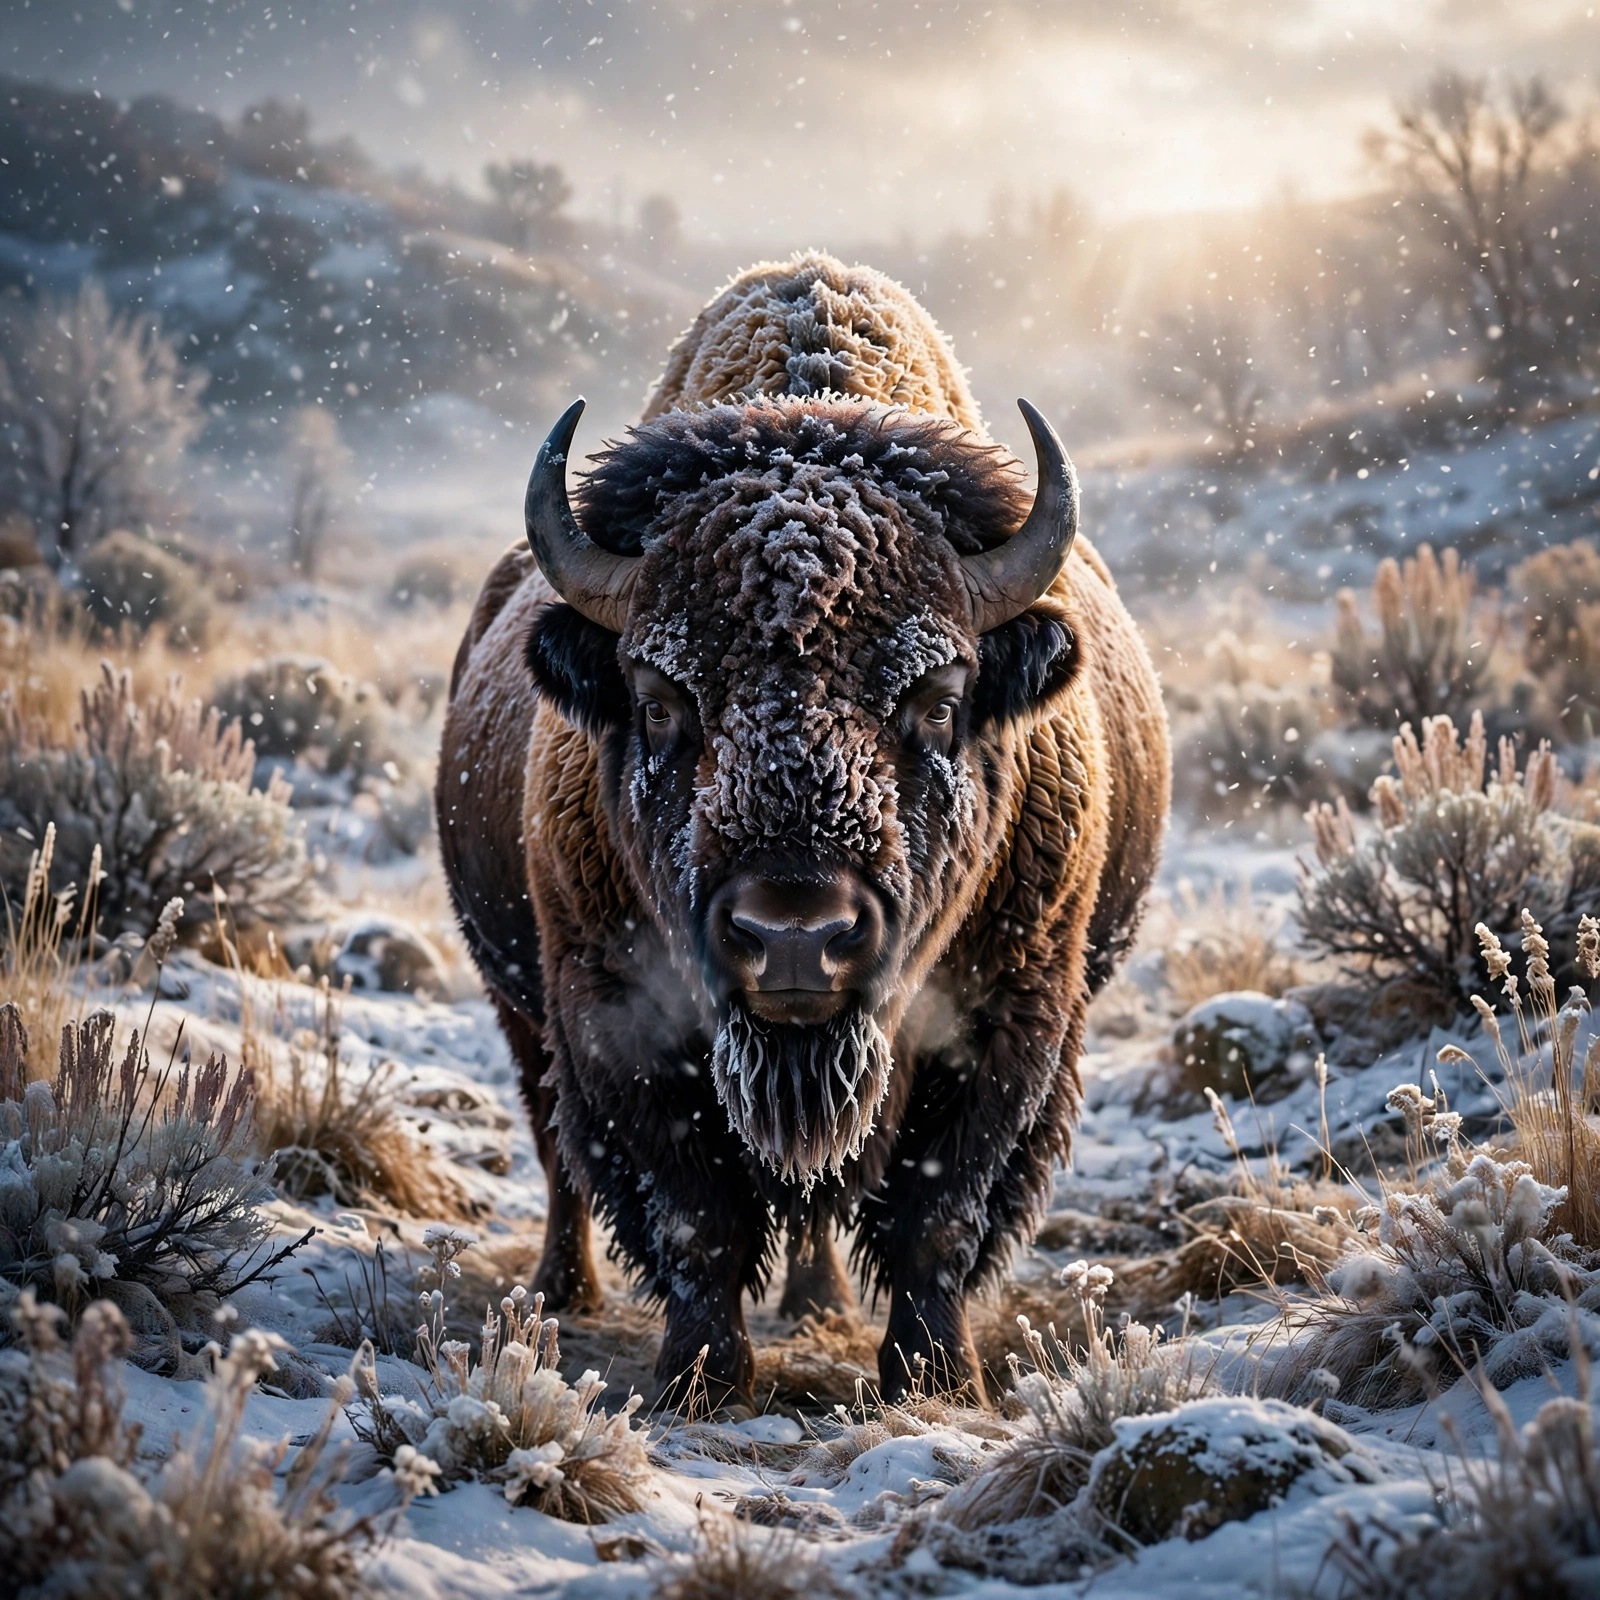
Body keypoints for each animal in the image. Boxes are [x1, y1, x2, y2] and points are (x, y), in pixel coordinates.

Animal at [438, 254, 1170, 1406]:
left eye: (937, 697)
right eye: (659, 698)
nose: (794, 937)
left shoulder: (1012, 1023)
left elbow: (938, 1216)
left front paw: (934, 1377)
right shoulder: (614, 1017)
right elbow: (694, 1217)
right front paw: (701, 1377)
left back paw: (818, 1302)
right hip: (520, 1006)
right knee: (560, 1158)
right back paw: (562, 1291)